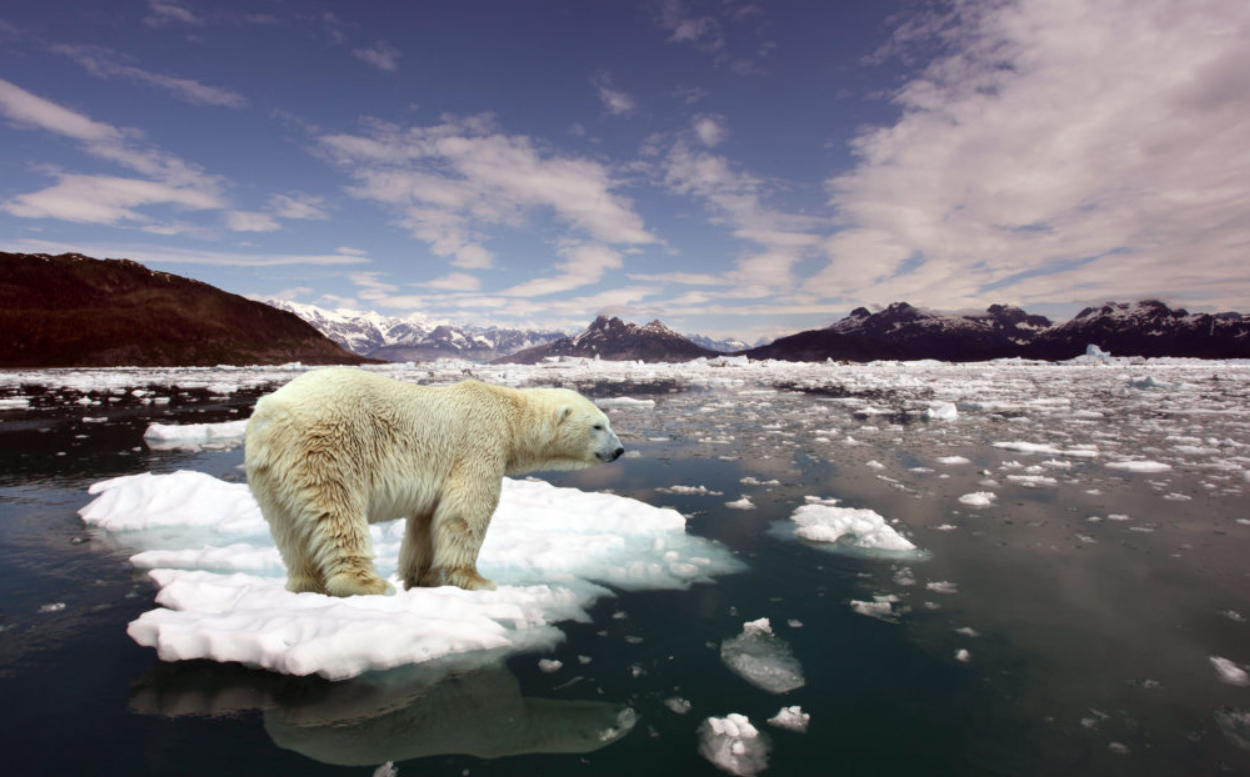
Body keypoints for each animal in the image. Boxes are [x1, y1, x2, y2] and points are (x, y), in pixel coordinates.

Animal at [241, 367, 622, 599]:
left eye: (607, 422)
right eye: (598, 426)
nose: (619, 450)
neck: (508, 413)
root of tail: (271, 414)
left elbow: (426, 521)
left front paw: (422, 578)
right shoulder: (479, 443)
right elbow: (466, 511)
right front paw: (476, 580)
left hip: (268, 474)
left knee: (288, 529)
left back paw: (306, 584)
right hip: (326, 448)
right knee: (337, 512)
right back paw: (368, 584)